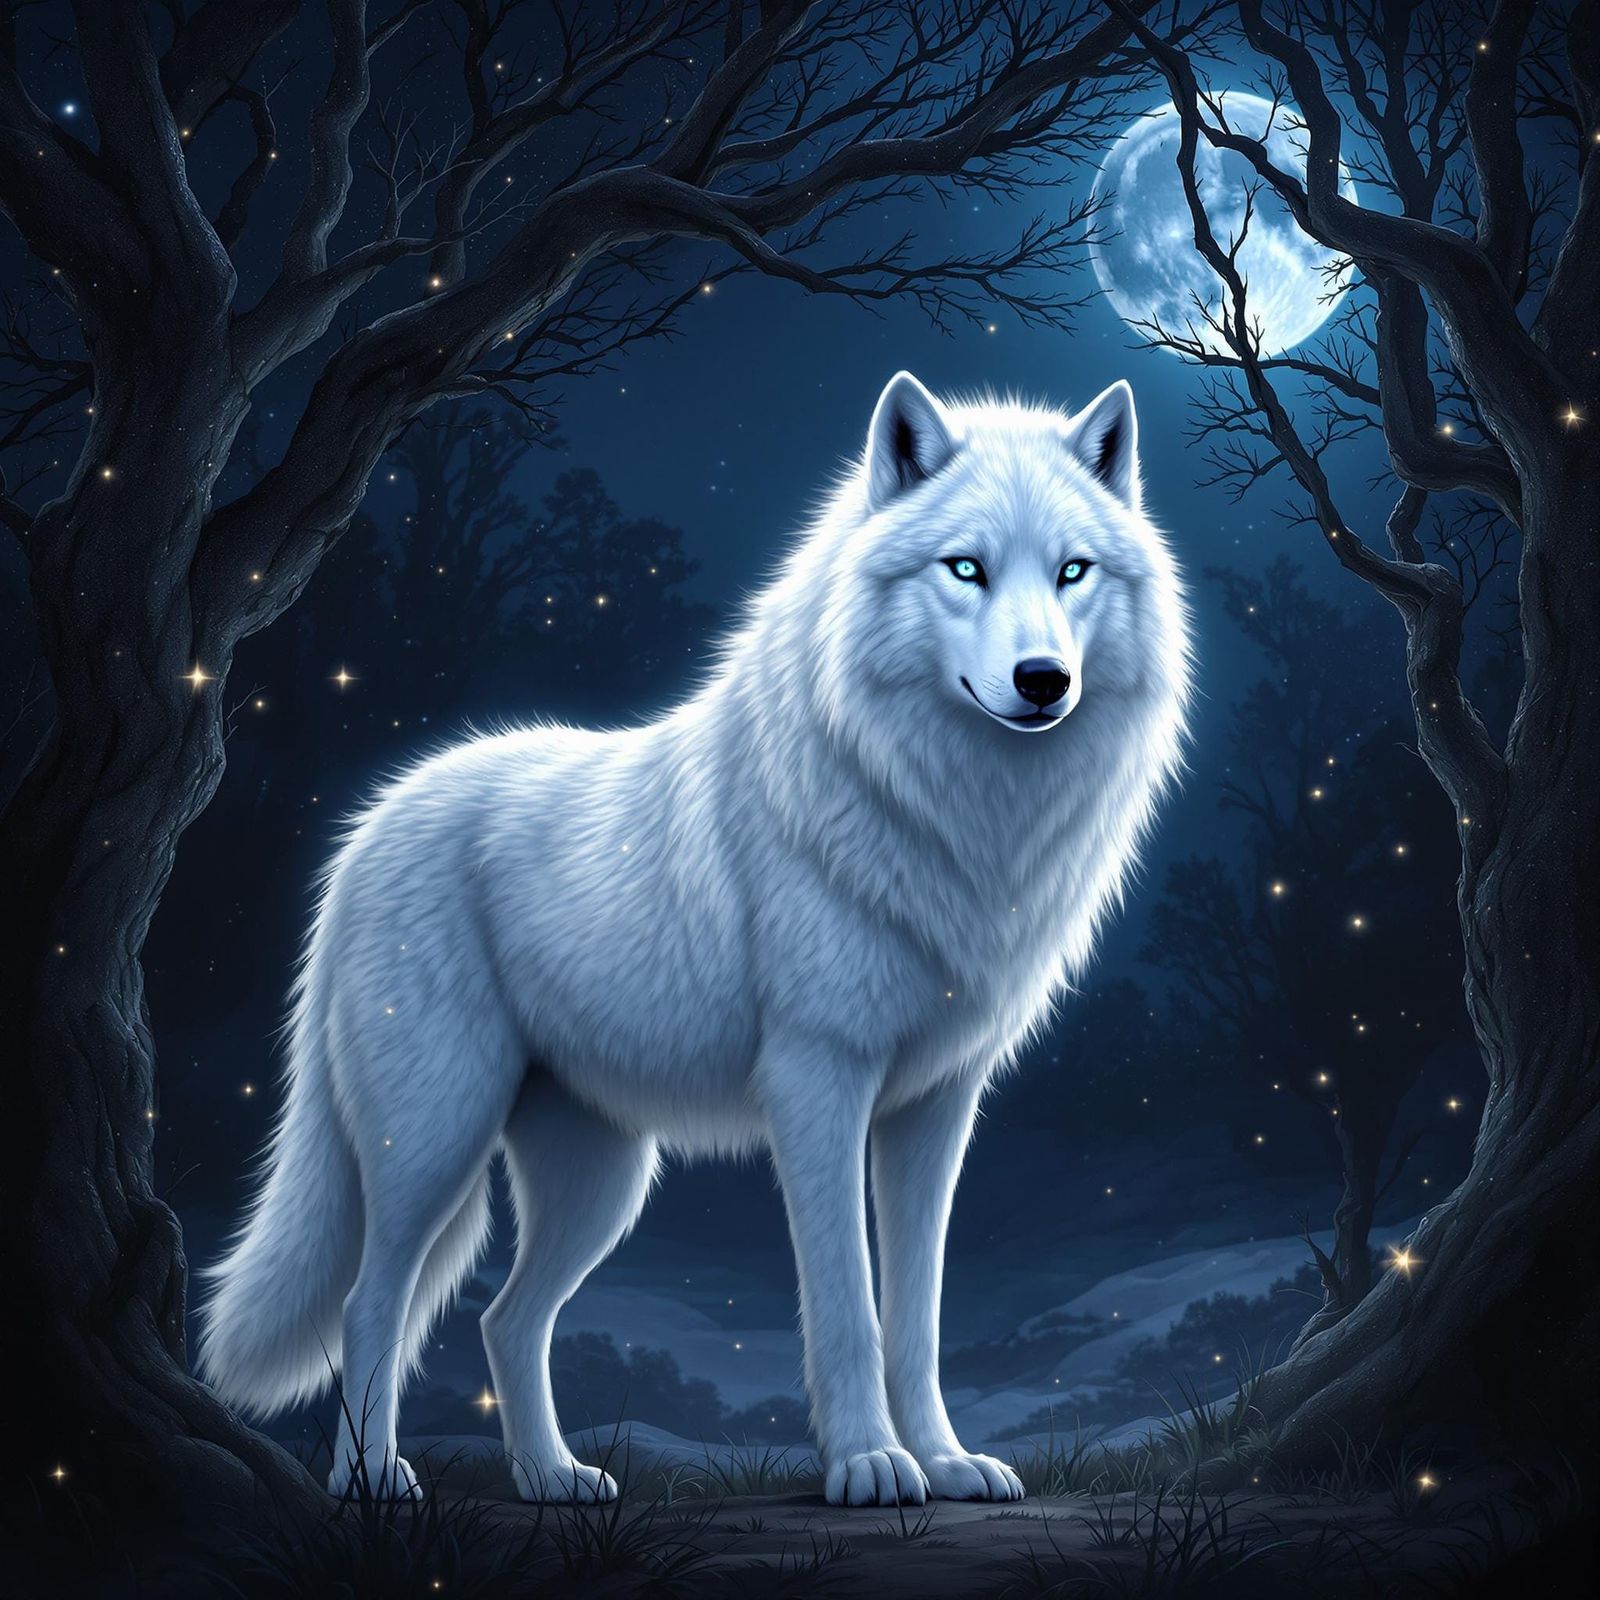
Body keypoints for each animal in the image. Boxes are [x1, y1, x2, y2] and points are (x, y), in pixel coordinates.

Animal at [198, 371, 1191, 1507]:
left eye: (1072, 571)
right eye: (965, 569)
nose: (1042, 680)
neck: (951, 813)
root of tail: (364, 835)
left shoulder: (937, 1105)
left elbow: (918, 1316)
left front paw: (943, 1461)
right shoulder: (818, 1082)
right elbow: (848, 1308)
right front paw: (869, 1464)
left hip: (602, 1182)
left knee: (501, 1317)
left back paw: (553, 1478)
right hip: (436, 1137)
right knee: (374, 1303)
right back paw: (372, 1479)